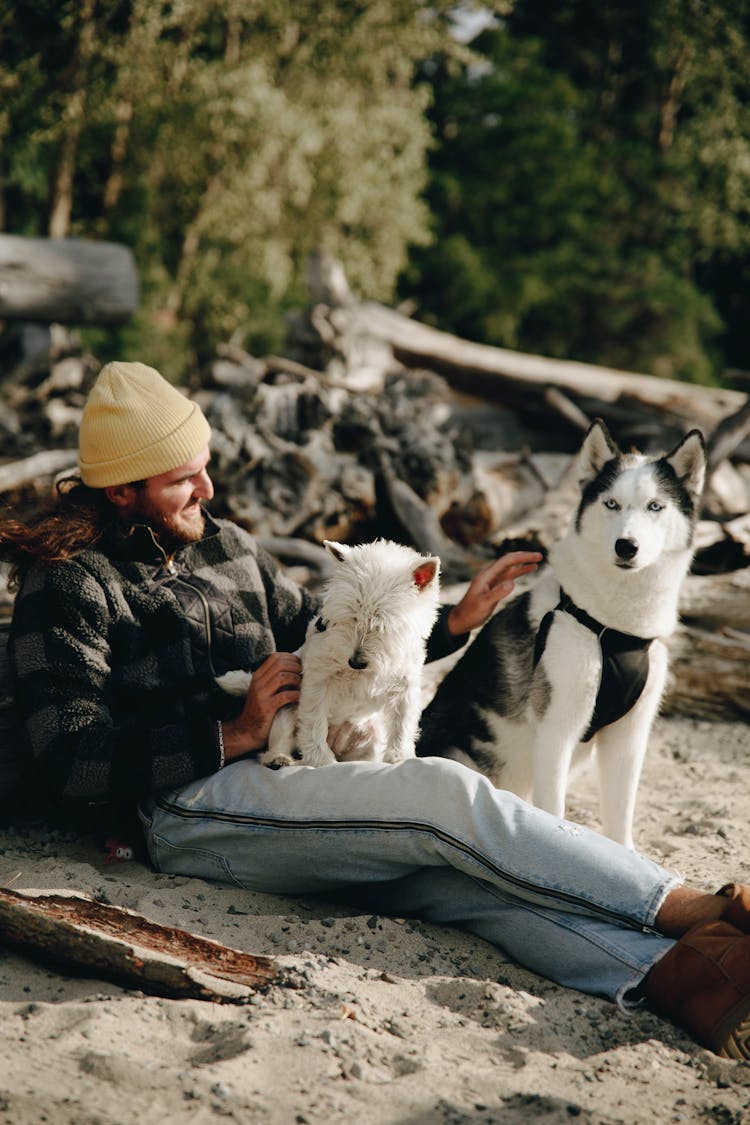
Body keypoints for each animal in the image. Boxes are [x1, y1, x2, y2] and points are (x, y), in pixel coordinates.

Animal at [218, 537, 440, 769]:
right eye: (350, 616)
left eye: (382, 624)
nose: (356, 662)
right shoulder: (318, 680)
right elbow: (314, 720)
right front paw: (321, 760)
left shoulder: (405, 686)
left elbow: (402, 723)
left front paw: (400, 756)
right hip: (286, 709)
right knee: (279, 740)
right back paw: (279, 758)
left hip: (371, 734)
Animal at [416, 418, 706, 846]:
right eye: (611, 504)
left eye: (656, 506)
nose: (626, 546)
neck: (611, 627)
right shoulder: (557, 731)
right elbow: (553, 811)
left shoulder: (629, 738)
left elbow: (620, 820)